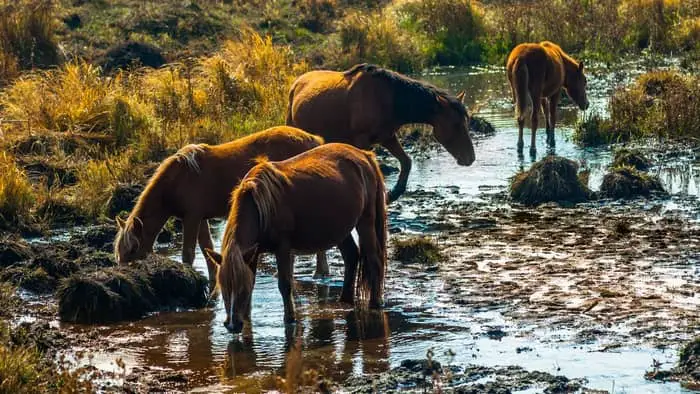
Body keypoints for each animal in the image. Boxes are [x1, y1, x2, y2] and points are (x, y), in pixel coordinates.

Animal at [113, 125, 324, 280]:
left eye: (133, 249)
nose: (124, 274)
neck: (178, 179)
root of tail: (312, 139)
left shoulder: (192, 217)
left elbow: (188, 253)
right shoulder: (200, 218)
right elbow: (207, 248)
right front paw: (213, 280)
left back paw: (319, 274)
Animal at [206, 143, 388, 330]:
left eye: (240, 290)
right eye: (224, 288)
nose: (233, 325)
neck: (260, 206)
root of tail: (364, 155)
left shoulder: (282, 248)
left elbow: (285, 284)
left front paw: (290, 319)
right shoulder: (252, 253)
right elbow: (253, 282)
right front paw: (248, 318)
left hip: (365, 221)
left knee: (374, 260)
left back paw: (375, 303)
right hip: (341, 229)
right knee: (351, 256)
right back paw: (345, 300)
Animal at [284, 63, 476, 203]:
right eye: (455, 124)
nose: (470, 158)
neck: (389, 101)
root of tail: (296, 84)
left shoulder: (387, 137)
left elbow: (406, 162)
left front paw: (393, 194)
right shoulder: (362, 140)